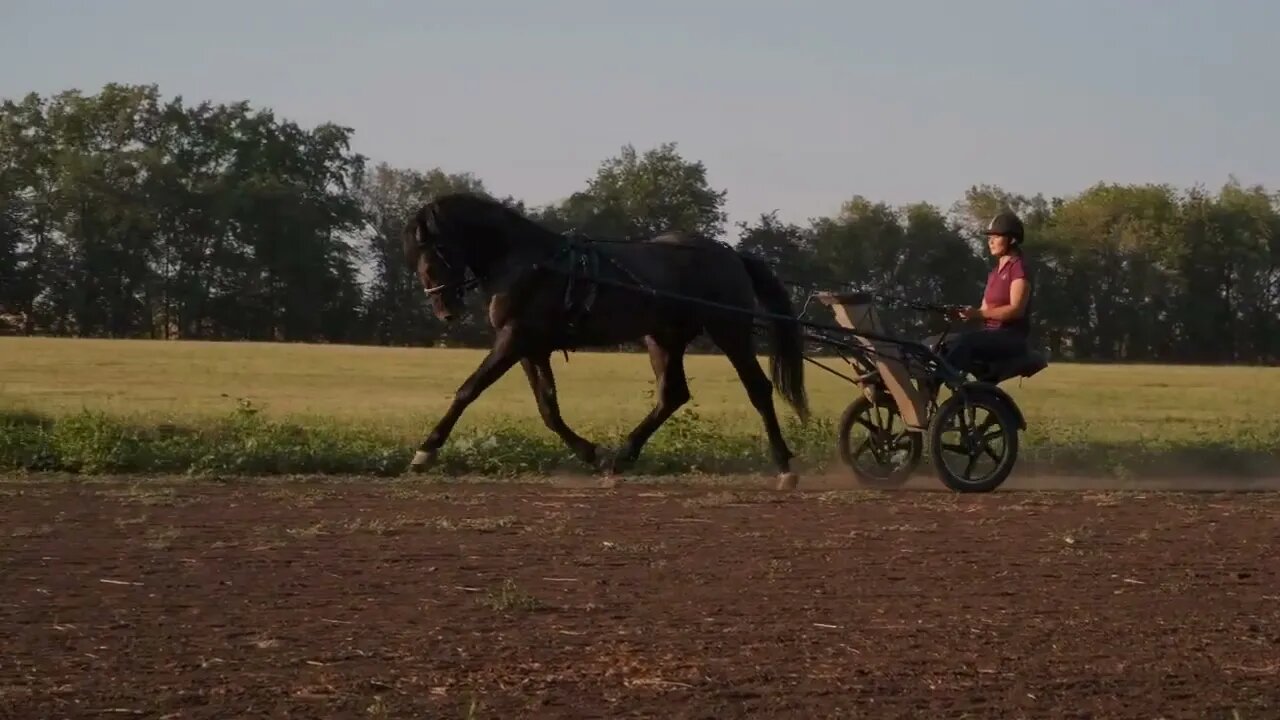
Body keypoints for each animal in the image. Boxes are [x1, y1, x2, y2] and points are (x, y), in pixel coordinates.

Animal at [399, 194, 808, 486]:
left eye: (436, 248)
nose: (444, 308)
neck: (528, 262)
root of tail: (729, 253)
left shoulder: (514, 339)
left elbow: (469, 390)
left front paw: (425, 452)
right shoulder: (532, 348)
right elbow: (548, 408)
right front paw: (591, 453)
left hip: (729, 330)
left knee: (757, 388)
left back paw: (785, 465)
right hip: (663, 338)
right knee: (672, 395)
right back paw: (622, 456)